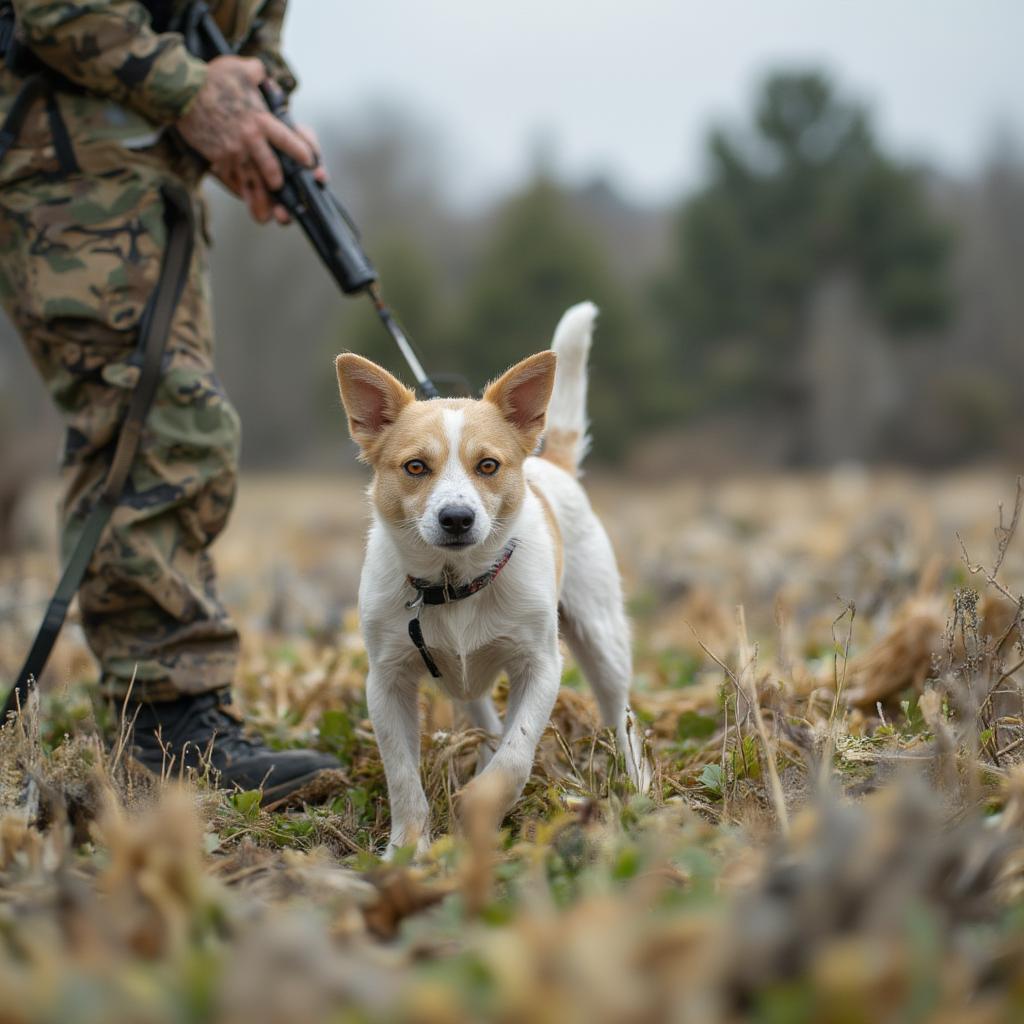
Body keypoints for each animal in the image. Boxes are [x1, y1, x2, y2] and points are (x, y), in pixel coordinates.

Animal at [339, 301, 651, 856]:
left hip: (602, 640)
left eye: (487, 465)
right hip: (460, 680)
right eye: (415, 467)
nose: (457, 518)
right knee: (485, 720)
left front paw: (483, 802)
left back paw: (634, 783)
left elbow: (517, 753)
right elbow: (402, 776)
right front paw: (407, 849)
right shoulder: (387, 682)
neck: (455, 585)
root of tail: (553, 465)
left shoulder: (541, 665)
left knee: (620, 716)